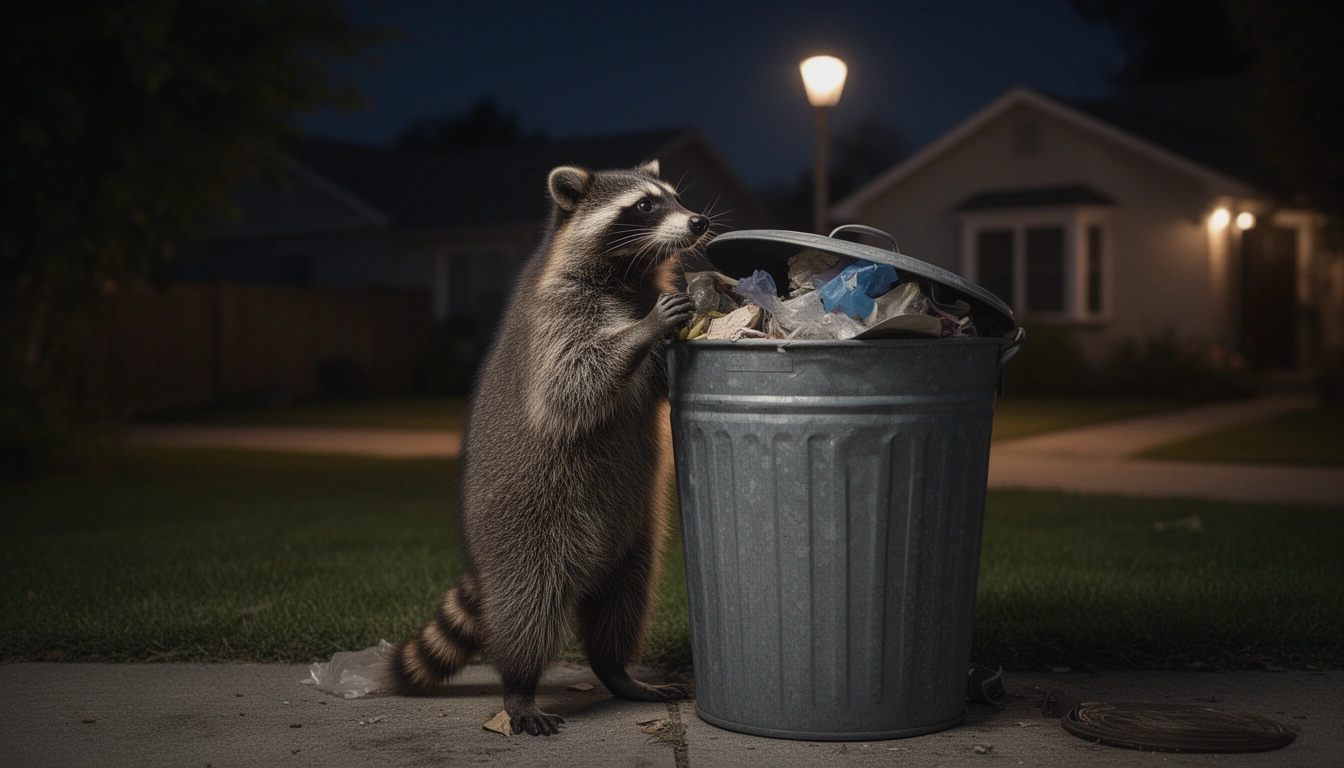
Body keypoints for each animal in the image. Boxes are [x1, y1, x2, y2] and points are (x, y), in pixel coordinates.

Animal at [388, 161, 711, 735]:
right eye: (645, 205)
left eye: (674, 197)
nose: (698, 221)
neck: (628, 273)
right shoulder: (558, 311)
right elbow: (572, 382)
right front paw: (644, 330)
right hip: (527, 532)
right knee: (526, 613)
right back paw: (518, 687)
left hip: (635, 539)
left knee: (622, 605)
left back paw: (616, 670)